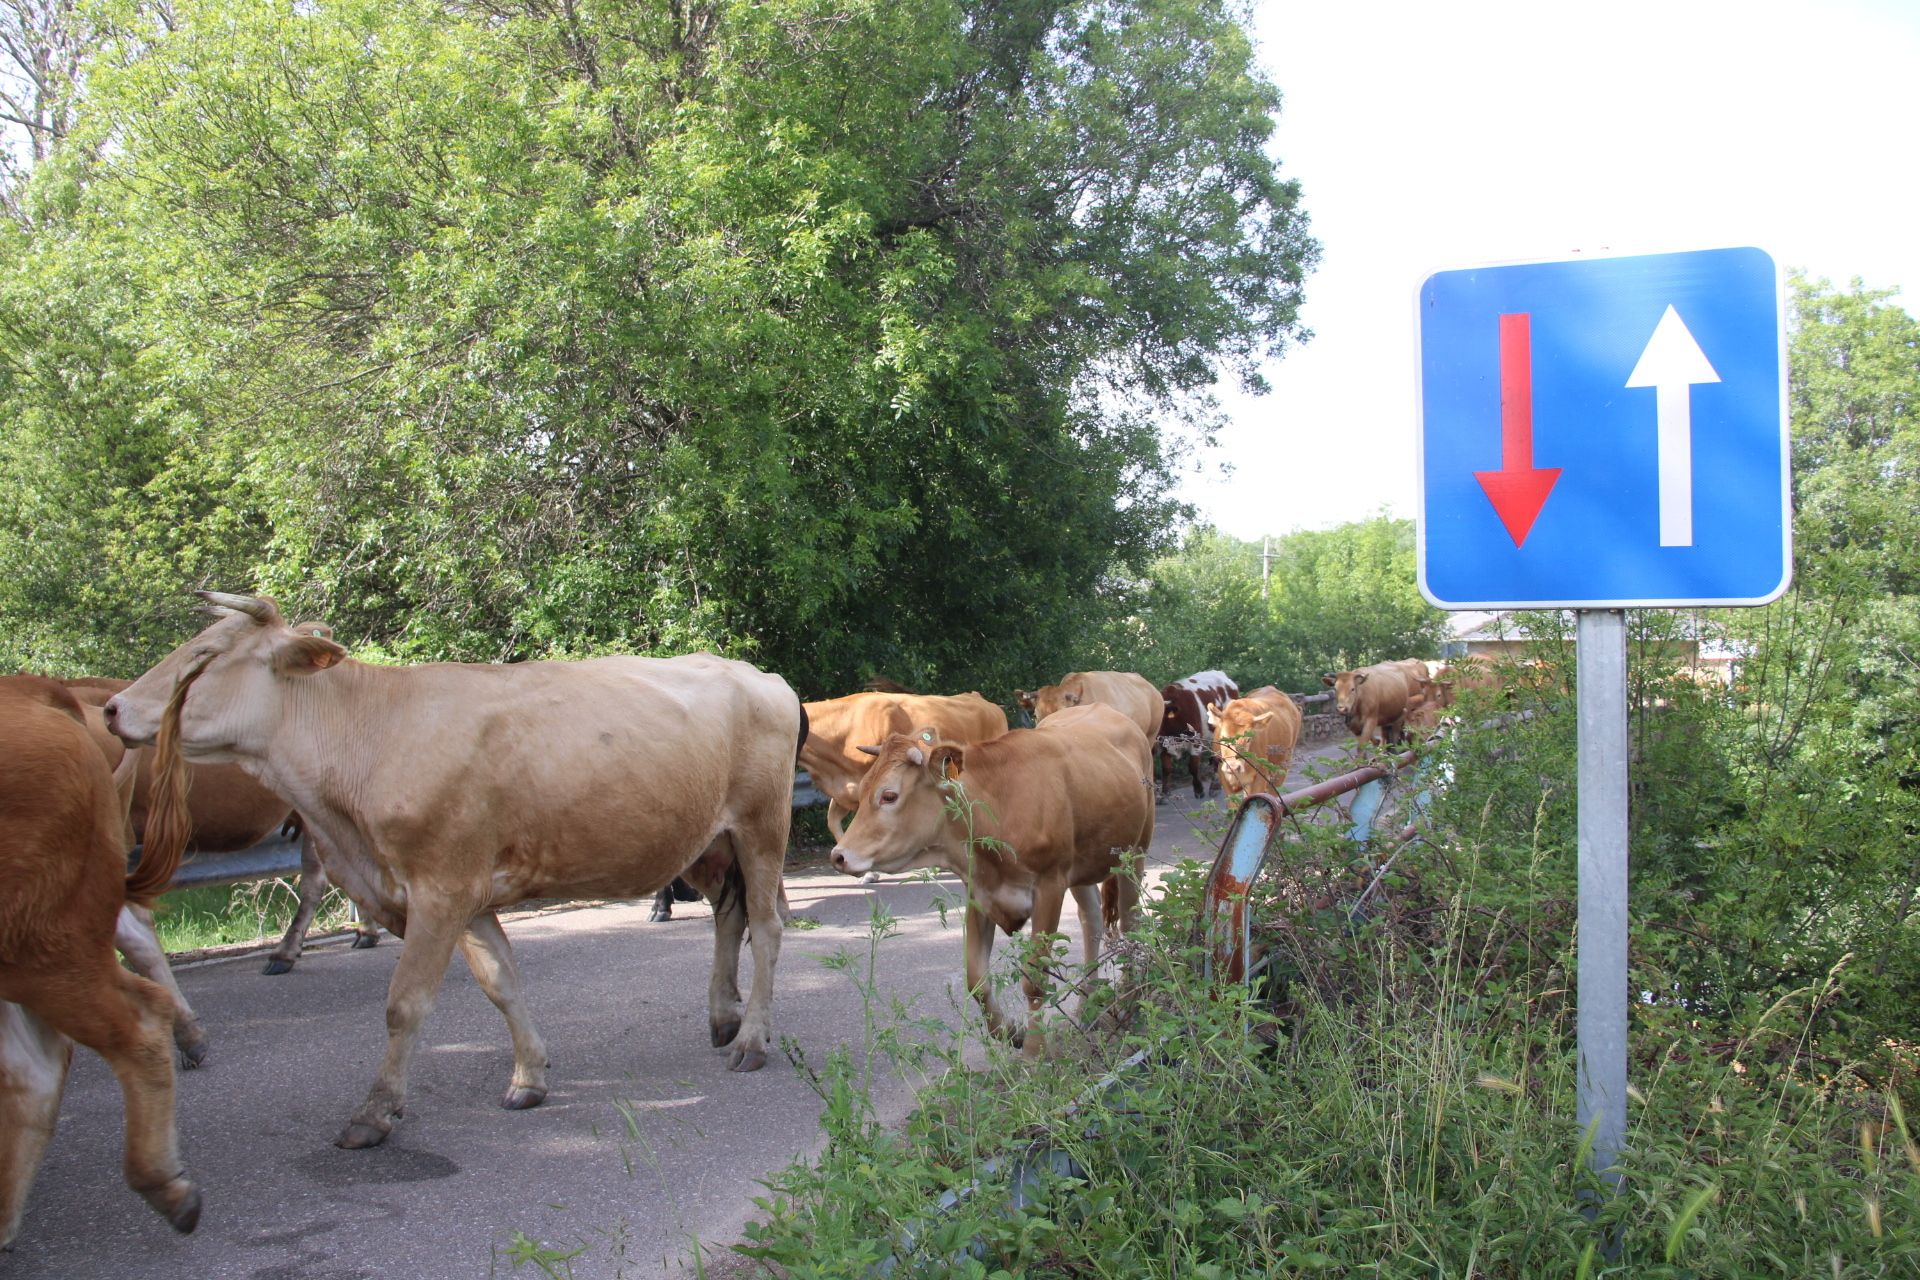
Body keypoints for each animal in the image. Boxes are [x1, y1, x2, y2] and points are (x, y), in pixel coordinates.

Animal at [105, 594, 802, 1151]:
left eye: (206, 655)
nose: (112, 708)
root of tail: (757, 674)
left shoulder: (440, 890)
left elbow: (405, 1004)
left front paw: (375, 1112)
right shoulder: (465, 895)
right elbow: (501, 983)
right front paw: (529, 1077)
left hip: (761, 828)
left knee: (766, 927)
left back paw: (751, 1040)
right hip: (708, 843)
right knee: (728, 918)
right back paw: (723, 1019)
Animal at [829, 706, 1152, 1059]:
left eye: (889, 795)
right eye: (862, 790)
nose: (839, 855)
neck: (997, 808)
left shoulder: (1050, 885)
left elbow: (1034, 978)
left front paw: (1034, 1052)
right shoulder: (980, 892)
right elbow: (976, 979)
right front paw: (1010, 1032)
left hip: (1135, 851)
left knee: (1130, 922)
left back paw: (1131, 1000)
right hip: (1081, 867)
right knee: (1090, 921)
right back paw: (1085, 1010)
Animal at [1159, 671, 1236, 802]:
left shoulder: (1196, 742)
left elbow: (1193, 767)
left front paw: (1199, 790)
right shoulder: (1164, 745)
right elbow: (1166, 769)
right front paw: (1164, 794)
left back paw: (1215, 787)